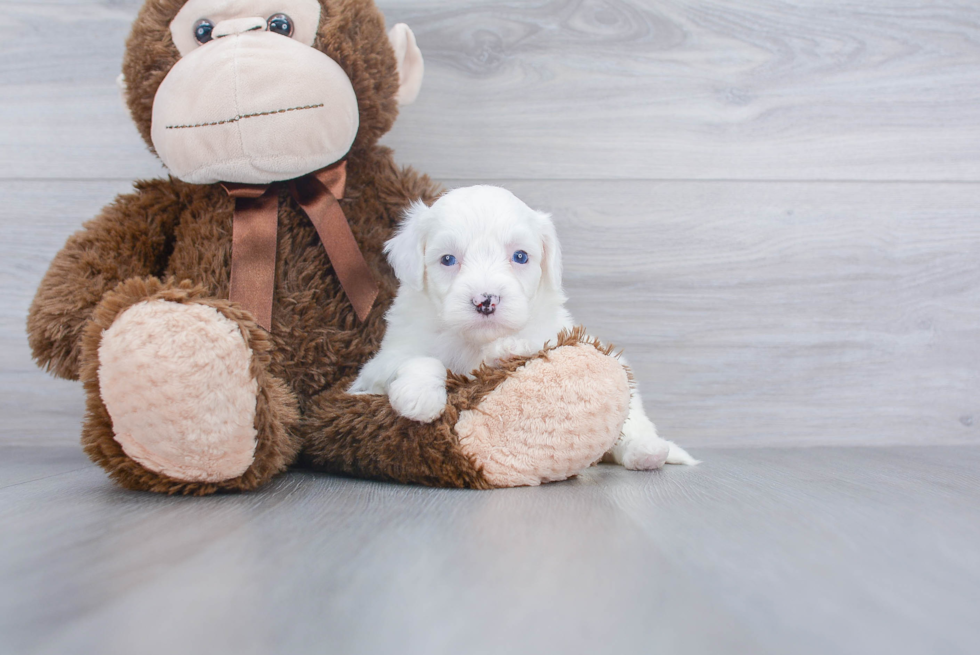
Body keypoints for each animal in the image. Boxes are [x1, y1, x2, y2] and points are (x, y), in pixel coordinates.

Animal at [350, 187, 696, 468]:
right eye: (447, 259)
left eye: (520, 256)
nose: (485, 301)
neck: (473, 341)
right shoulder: (381, 361)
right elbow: (420, 358)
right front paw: (419, 396)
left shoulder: (553, 332)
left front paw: (509, 348)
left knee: (630, 427)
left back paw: (646, 451)